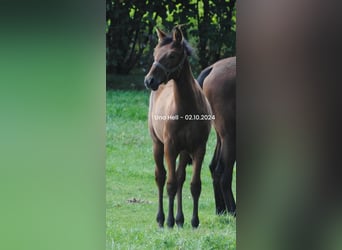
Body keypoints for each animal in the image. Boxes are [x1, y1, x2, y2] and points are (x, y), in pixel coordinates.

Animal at [144, 26, 211, 229]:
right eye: (155, 53)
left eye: (172, 55)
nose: (149, 80)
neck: (187, 107)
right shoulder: (170, 147)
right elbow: (170, 184)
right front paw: (169, 222)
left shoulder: (198, 148)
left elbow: (194, 185)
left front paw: (194, 222)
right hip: (158, 145)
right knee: (161, 177)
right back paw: (162, 219)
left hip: (183, 151)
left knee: (180, 178)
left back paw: (180, 220)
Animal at [196, 56, 236, 215]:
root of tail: (212, 68)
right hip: (230, 136)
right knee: (223, 174)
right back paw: (232, 210)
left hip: (222, 137)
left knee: (214, 168)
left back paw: (221, 209)